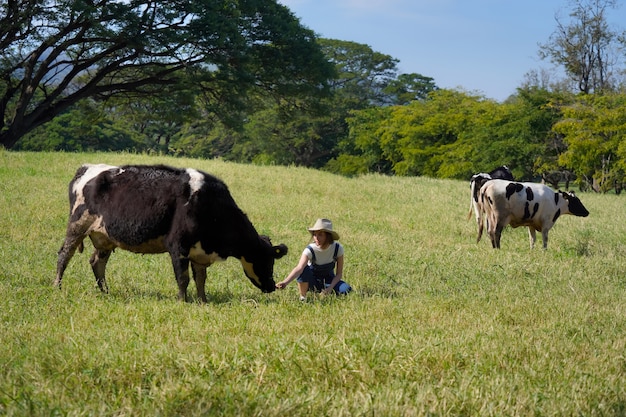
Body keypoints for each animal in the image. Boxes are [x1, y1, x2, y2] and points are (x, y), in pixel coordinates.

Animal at [54, 163, 288, 302]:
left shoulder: (199, 253)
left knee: (97, 262)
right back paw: (57, 286)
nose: (271, 286)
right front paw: (182, 301)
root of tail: (88, 168)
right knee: (64, 256)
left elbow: (201, 279)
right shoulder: (178, 246)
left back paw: (105, 291)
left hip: (104, 237)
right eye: (266, 260)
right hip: (76, 226)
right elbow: (183, 278)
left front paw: (203, 301)